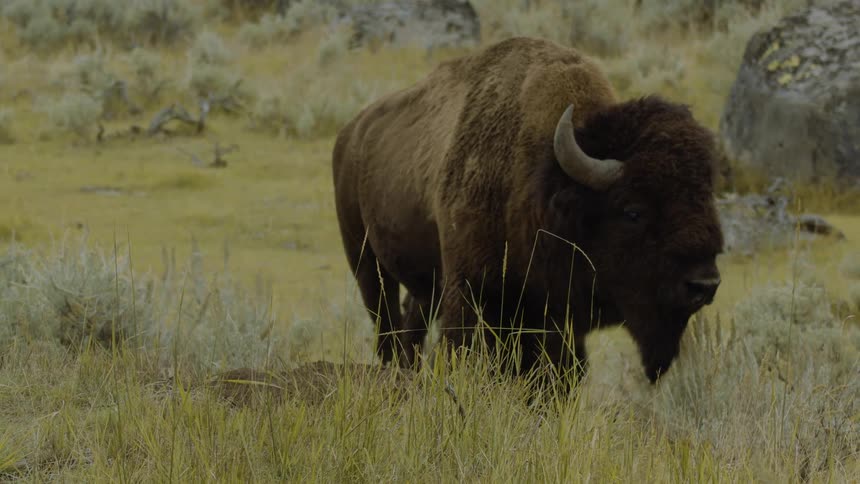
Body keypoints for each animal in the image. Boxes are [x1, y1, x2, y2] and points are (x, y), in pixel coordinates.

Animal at [332, 37, 723, 383]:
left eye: (707, 198)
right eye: (633, 212)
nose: (704, 284)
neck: (543, 177)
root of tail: (351, 130)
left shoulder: (550, 316)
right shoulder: (469, 289)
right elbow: (463, 353)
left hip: (424, 284)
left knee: (411, 327)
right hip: (365, 261)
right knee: (385, 326)